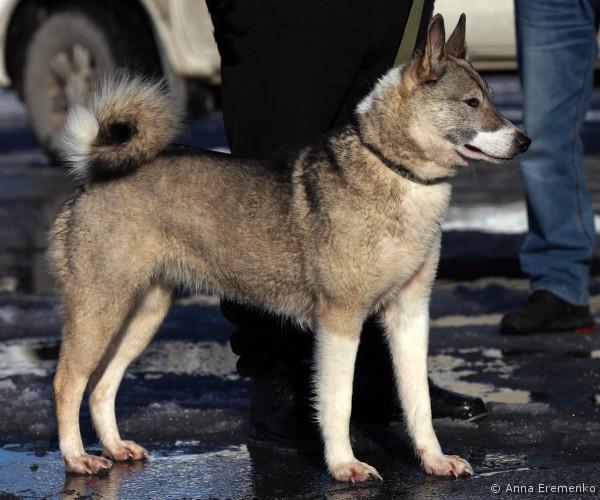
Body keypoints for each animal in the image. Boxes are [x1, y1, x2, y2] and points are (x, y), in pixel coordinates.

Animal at [48, 14, 529, 481]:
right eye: (472, 103)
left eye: (491, 98)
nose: (524, 140)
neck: (392, 169)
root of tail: (93, 175)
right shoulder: (339, 319)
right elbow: (338, 402)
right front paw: (344, 465)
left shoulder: (409, 316)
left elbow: (419, 404)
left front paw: (434, 460)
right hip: (101, 308)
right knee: (68, 382)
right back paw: (77, 457)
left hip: (143, 311)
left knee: (102, 385)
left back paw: (115, 448)